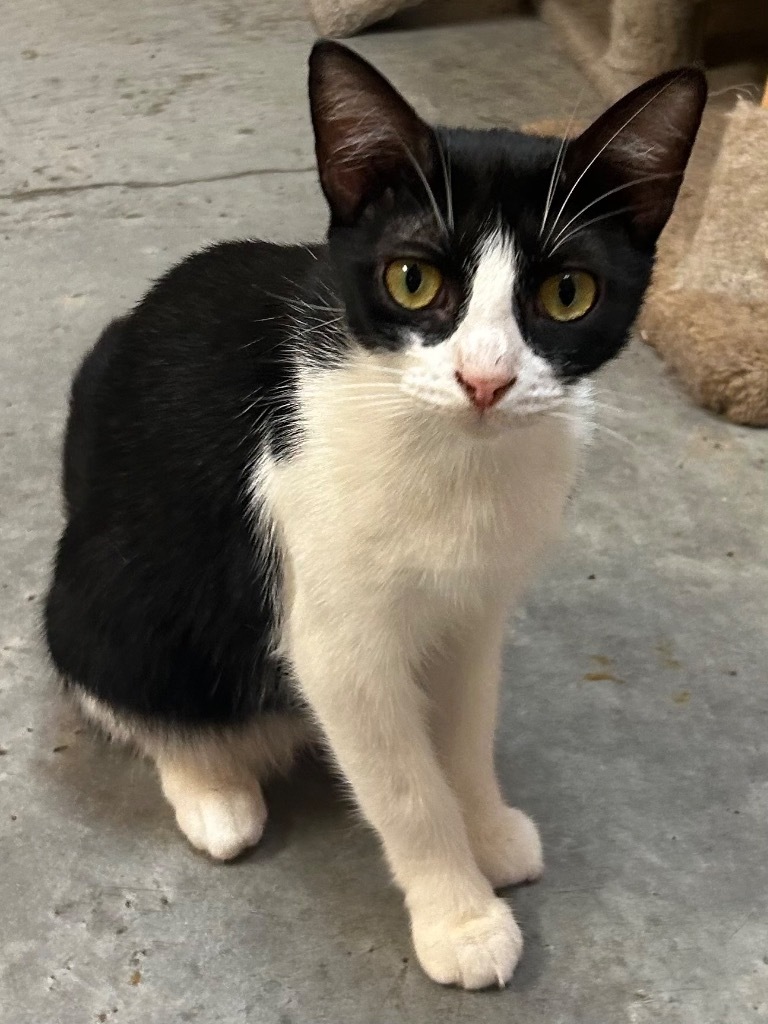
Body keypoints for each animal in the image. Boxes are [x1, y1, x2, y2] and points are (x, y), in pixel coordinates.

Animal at [43, 41, 708, 991]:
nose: (485, 380)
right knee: (121, 682)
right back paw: (212, 787)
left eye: (569, 293)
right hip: (119, 586)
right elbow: (406, 788)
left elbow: (465, 729)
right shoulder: (336, 640)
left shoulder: (475, 609)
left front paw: (488, 830)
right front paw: (461, 918)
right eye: (412, 278)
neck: (455, 459)